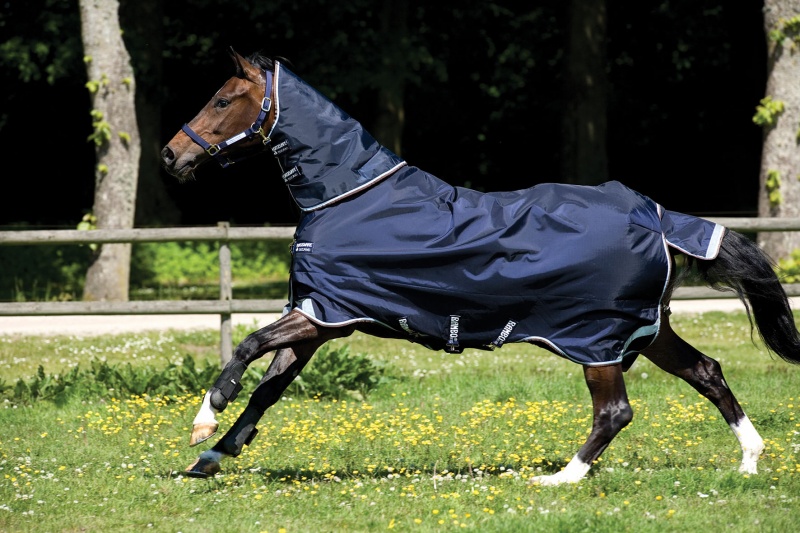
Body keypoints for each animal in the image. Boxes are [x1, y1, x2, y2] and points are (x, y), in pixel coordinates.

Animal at [161, 47, 800, 485]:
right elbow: (270, 387)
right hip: (645, 330)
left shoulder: (325, 313)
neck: (347, 196)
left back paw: (559, 478)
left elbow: (247, 348)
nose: (171, 155)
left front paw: (205, 421)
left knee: (616, 411)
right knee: (708, 372)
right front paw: (211, 457)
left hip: (596, 339)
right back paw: (749, 460)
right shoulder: (322, 318)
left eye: (222, 100)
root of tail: (658, 218)